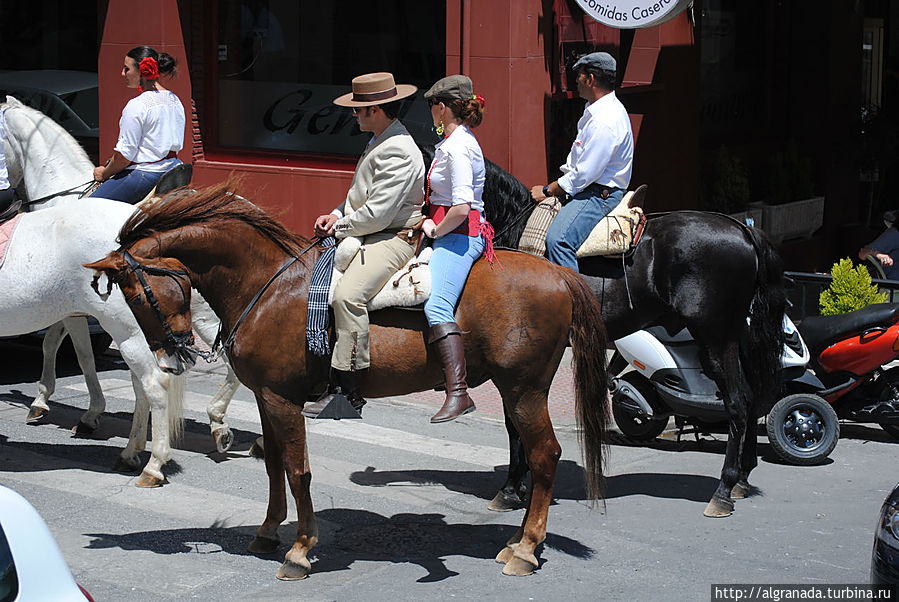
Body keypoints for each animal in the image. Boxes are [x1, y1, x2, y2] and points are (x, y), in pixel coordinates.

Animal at [1, 96, 239, 464]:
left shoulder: (78, 313)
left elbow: (76, 353)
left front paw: (81, 412)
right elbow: (54, 342)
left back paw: (218, 421)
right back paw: (224, 427)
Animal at [86, 180, 612, 580]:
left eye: (138, 294)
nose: (170, 356)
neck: (271, 286)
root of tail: (559, 275)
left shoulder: (283, 401)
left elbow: (298, 471)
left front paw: (300, 550)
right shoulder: (267, 398)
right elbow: (273, 465)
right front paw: (268, 531)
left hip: (524, 390)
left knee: (545, 455)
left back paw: (525, 548)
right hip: (517, 390)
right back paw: (519, 540)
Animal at [478, 159, 788, 516]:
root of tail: (743, 230)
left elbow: (514, 420)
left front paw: (510, 488)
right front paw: (519, 485)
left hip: (716, 339)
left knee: (738, 402)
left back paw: (723, 489)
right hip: (739, 339)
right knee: (752, 398)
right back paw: (742, 478)